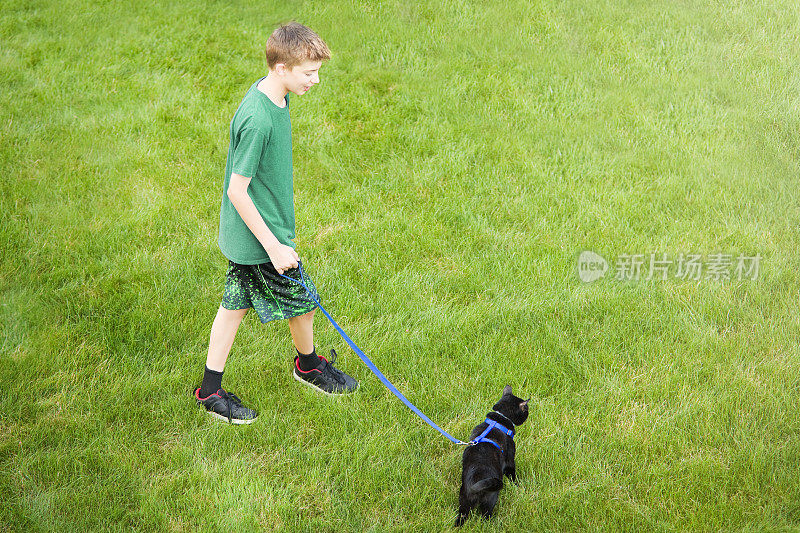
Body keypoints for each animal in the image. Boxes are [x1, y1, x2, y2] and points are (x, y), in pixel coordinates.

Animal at [454, 384, 528, 524]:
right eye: (526, 409)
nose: (528, 413)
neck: (500, 418)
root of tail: (474, 485)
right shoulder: (510, 459)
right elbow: (512, 475)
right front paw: (518, 486)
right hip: (491, 498)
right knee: (486, 517)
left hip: (464, 501)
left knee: (461, 517)